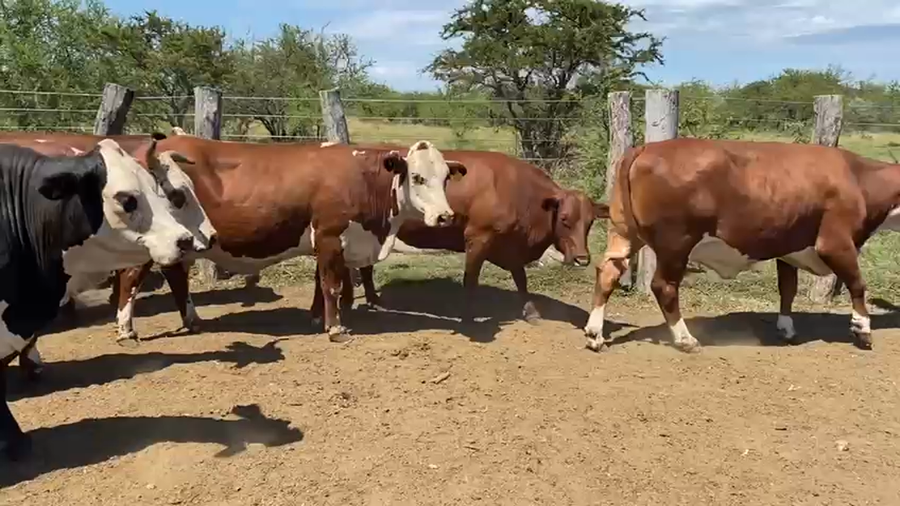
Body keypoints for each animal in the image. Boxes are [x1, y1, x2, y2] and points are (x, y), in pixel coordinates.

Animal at [103, 136, 468, 343]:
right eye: (417, 177)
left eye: (445, 178)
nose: (445, 216)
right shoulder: (330, 236)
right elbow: (332, 285)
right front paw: (335, 330)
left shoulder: (325, 242)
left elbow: (320, 283)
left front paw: (317, 317)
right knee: (131, 278)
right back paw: (126, 331)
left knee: (176, 277)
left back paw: (193, 322)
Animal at [308, 149, 608, 324]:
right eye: (565, 219)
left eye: (590, 222)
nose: (582, 258)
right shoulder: (478, 237)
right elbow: (471, 280)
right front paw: (468, 316)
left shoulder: (510, 246)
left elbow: (521, 280)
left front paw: (531, 311)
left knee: (359, 268)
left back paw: (365, 300)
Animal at [584, 137, 900, 354]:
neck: (859, 177)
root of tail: (645, 148)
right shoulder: (836, 244)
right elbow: (857, 284)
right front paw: (862, 329)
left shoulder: (787, 247)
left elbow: (788, 289)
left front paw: (787, 328)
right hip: (676, 243)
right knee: (664, 286)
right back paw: (686, 339)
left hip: (625, 233)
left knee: (608, 272)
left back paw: (594, 334)